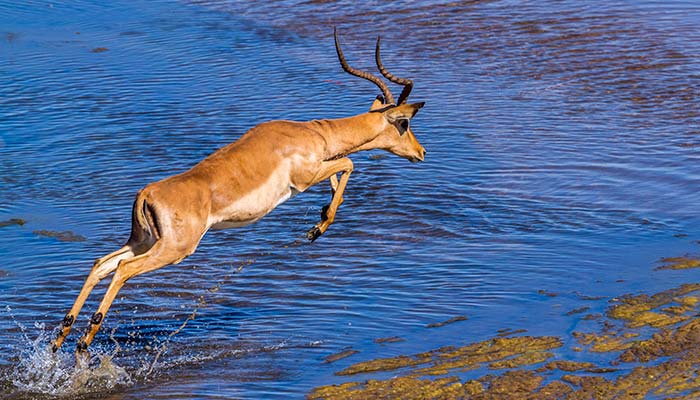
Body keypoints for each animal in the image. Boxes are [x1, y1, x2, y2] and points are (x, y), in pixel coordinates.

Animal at [50, 28, 426, 354]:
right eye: (404, 123)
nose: (421, 152)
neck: (314, 134)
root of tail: (147, 194)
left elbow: (340, 171)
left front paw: (319, 219)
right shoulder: (305, 178)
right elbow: (347, 164)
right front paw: (317, 229)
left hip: (144, 240)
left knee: (101, 264)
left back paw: (60, 338)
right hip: (174, 249)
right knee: (124, 270)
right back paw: (85, 338)